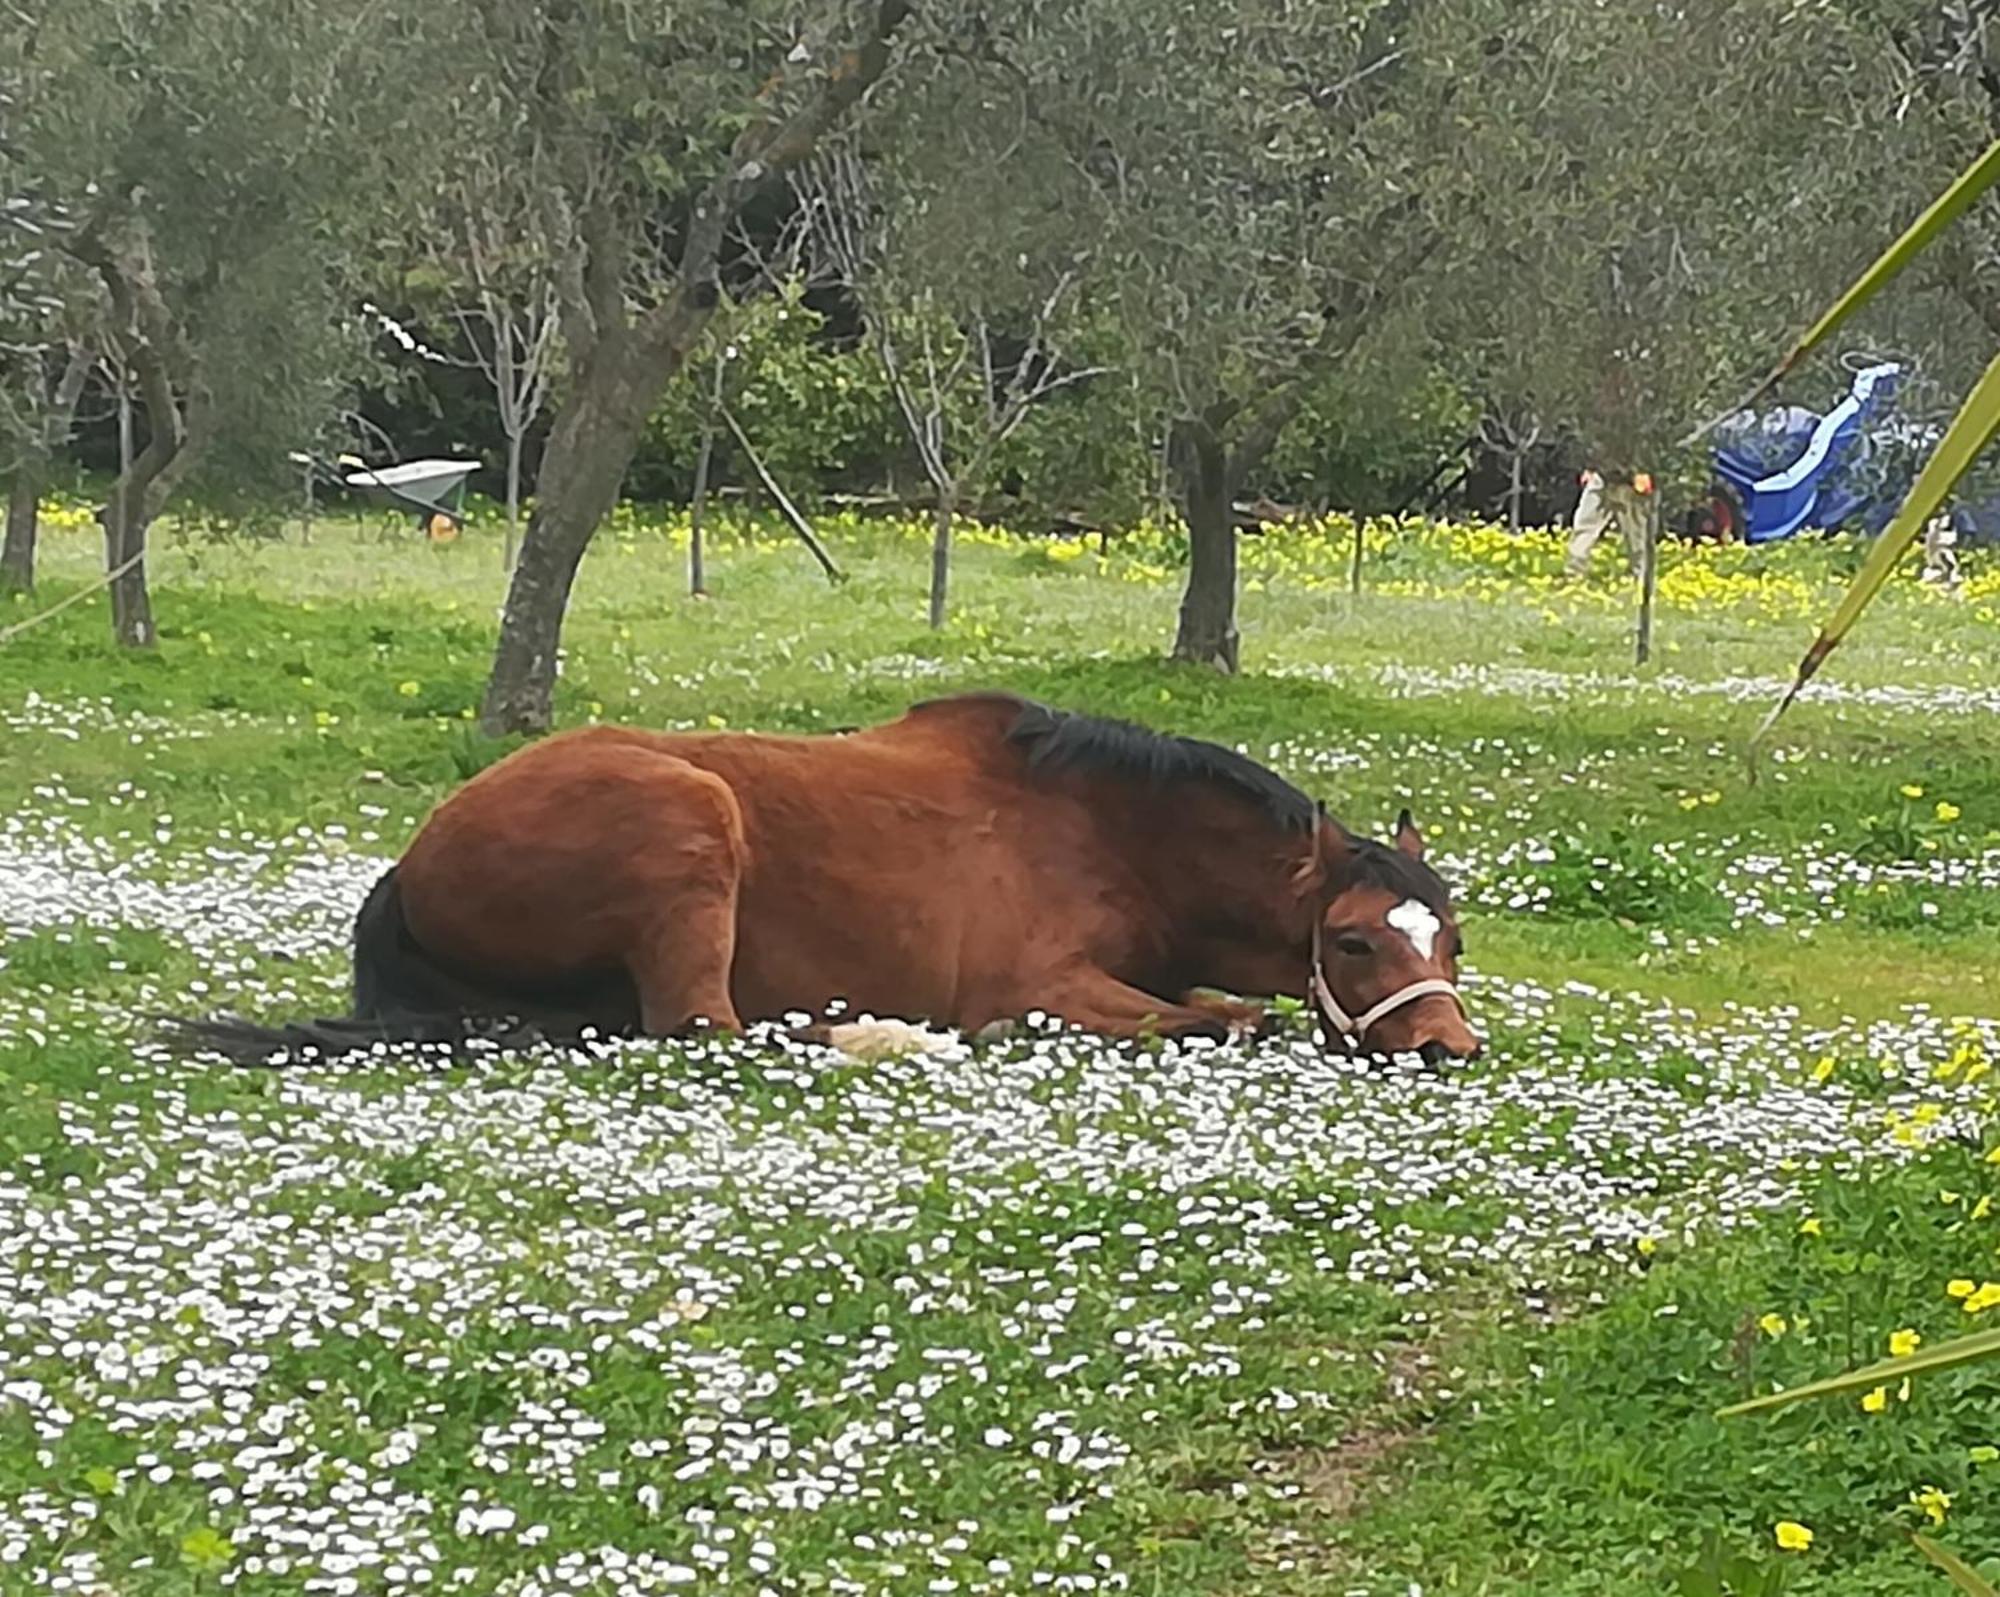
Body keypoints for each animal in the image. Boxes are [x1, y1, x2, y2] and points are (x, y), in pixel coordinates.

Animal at [172, 696, 1480, 1064]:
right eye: (1352, 938)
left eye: (1449, 940)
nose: (1448, 1049)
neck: (1103, 831)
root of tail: (416, 857)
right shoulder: (1037, 990)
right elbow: (1226, 1018)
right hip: (688, 827)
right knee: (704, 1030)